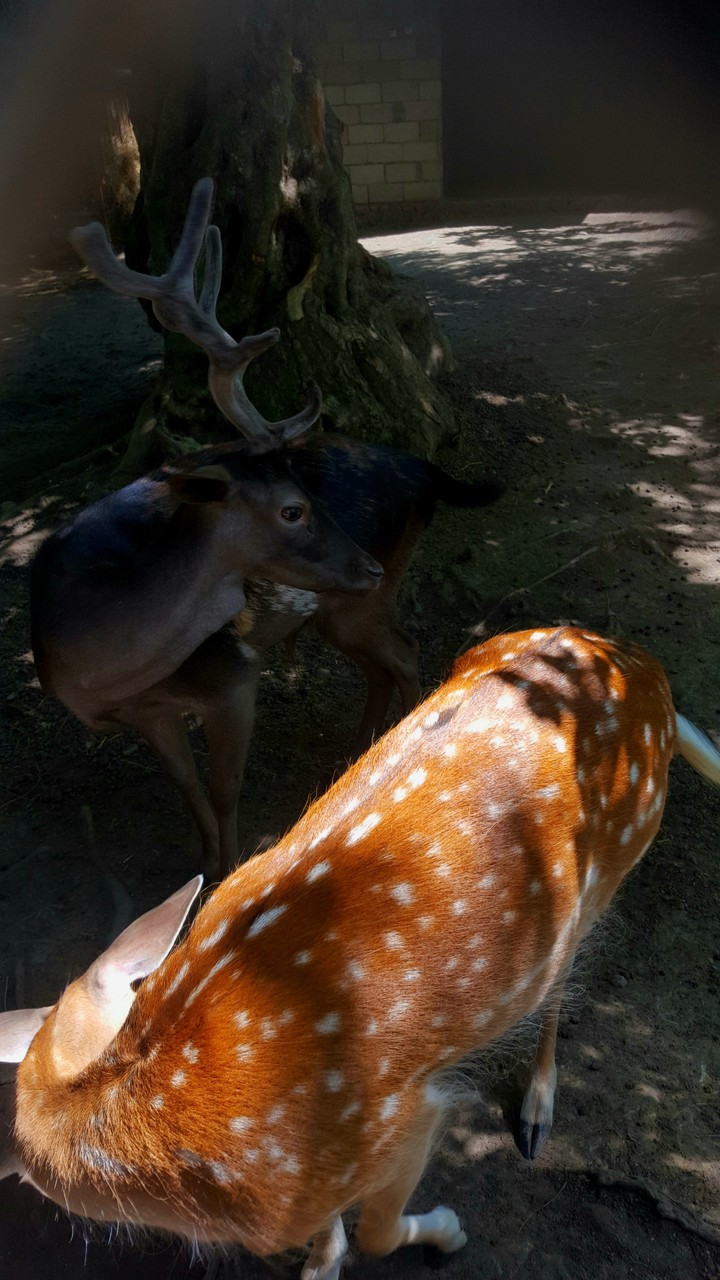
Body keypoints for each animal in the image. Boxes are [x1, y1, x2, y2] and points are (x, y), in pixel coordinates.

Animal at [1, 625, 718, 1275]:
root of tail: (647, 670)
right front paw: (324, 1261)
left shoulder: (402, 1121)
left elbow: (376, 1232)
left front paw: (445, 1232)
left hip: (618, 857)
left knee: (564, 980)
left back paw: (537, 1113)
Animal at [30, 177, 502, 879]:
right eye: (291, 508)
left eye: (304, 493)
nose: (365, 564)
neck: (97, 669)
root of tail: (422, 467)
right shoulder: (148, 713)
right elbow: (191, 793)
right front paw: (202, 872)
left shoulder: (231, 676)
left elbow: (225, 793)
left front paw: (229, 871)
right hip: (343, 606)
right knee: (383, 662)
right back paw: (357, 749)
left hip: (358, 600)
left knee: (406, 651)